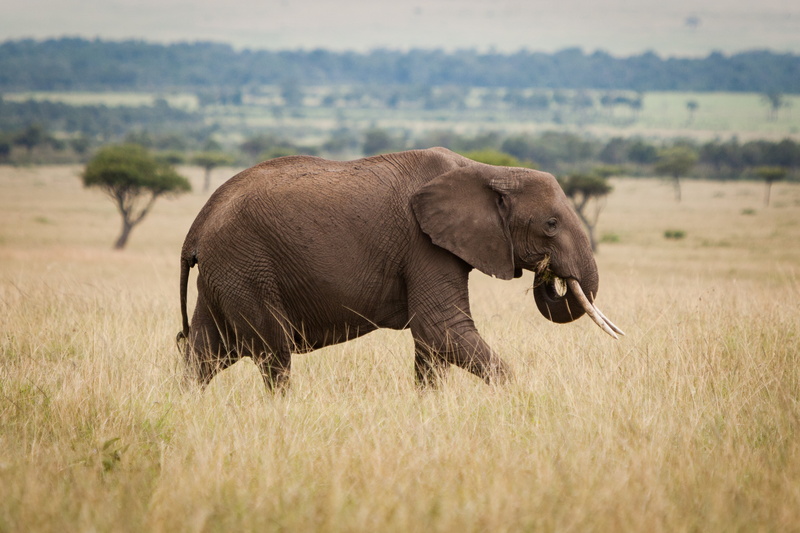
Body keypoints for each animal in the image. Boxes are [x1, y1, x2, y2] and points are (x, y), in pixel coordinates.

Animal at [177, 147, 622, 390]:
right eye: (551, 224)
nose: (550, 277)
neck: (486, 170)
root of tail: (198, 223)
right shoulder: (423, 243)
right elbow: (442, 327)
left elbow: (432, 342)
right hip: (246, 264)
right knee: (273, 352)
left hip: (227, 271)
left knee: (207, 352)